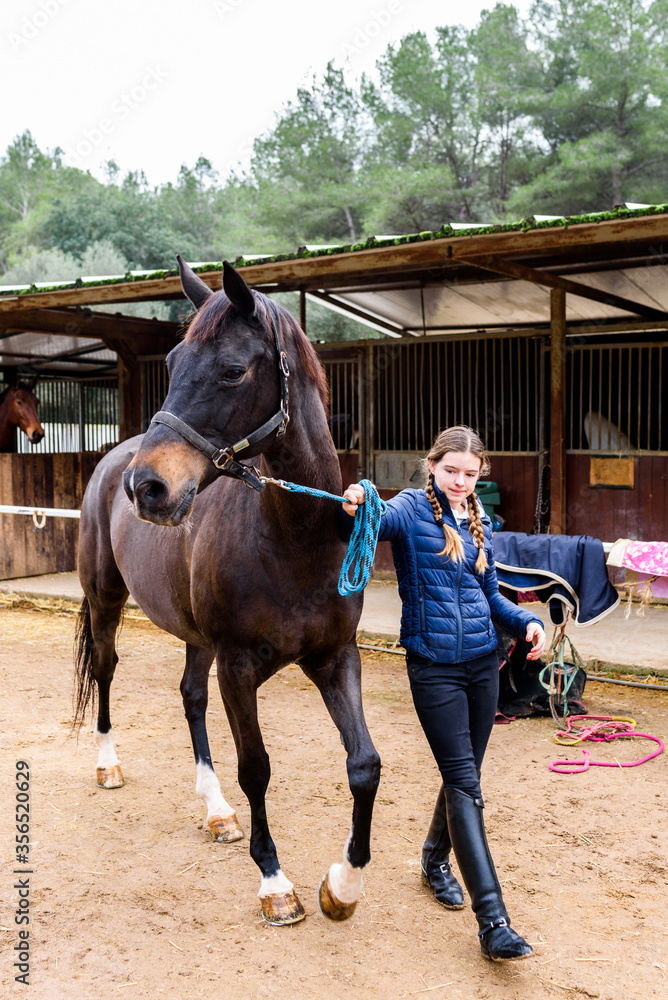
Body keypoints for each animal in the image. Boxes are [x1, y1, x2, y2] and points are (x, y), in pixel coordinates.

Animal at [74, 257, 381, 926]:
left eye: (234, 370)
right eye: (170, 364)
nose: (147, 488)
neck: (296, 538)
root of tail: (113, 459)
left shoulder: (335, 658)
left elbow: (365, 765)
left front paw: (344, 886)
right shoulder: (238, 668)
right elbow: (257, 768)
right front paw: (275, 884)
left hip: (196, 638)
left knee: (190, 697)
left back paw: (216, 812)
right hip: (108, 602)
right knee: (106, 671)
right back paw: (108, 765)